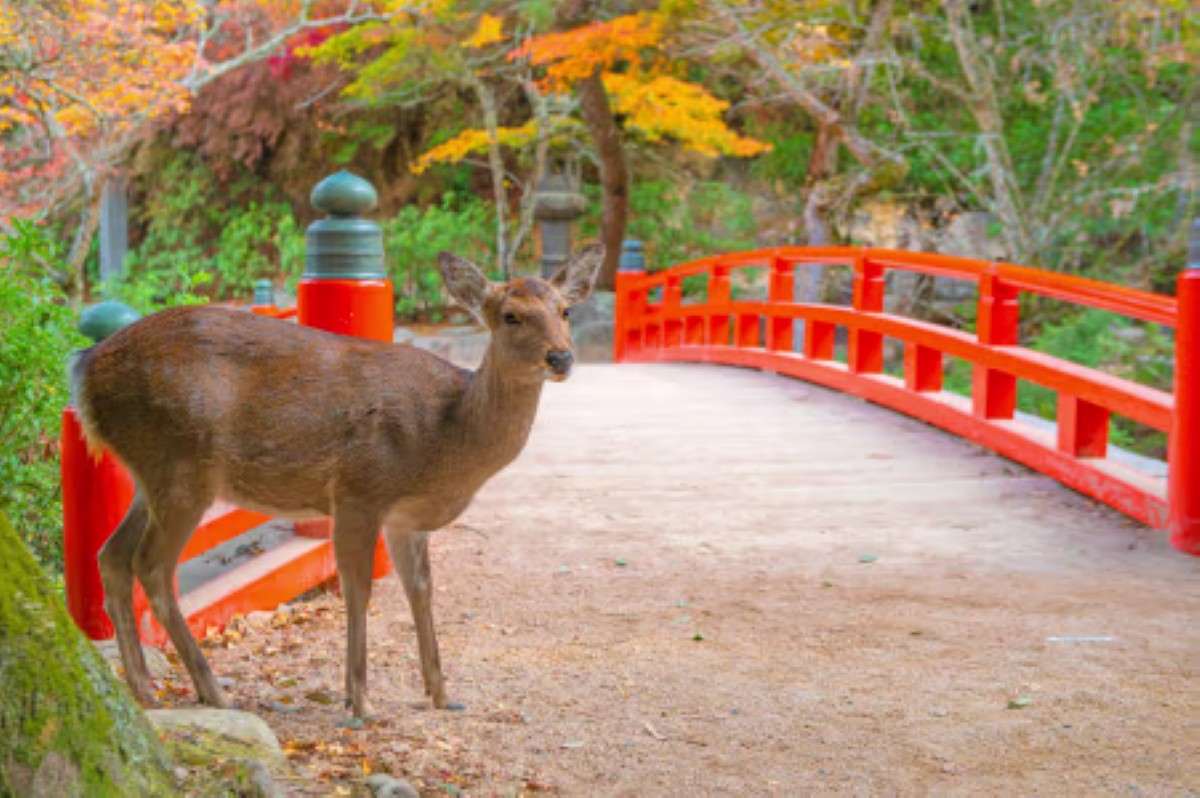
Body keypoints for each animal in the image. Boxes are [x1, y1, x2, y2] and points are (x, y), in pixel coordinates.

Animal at [71, 244, 604, 719]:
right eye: (511, 316)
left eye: (566, 310)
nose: (561, 358)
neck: (448, 439)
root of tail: (83, 369)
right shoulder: (360, 491)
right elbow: (358, 589)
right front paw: (361, 701)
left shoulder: (407, 518)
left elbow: (422, 590)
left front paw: (441, 694)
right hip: (181, 465)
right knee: (152, 565)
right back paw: (212, 691)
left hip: (149, 474)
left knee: (112, 555)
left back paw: (144, 690)